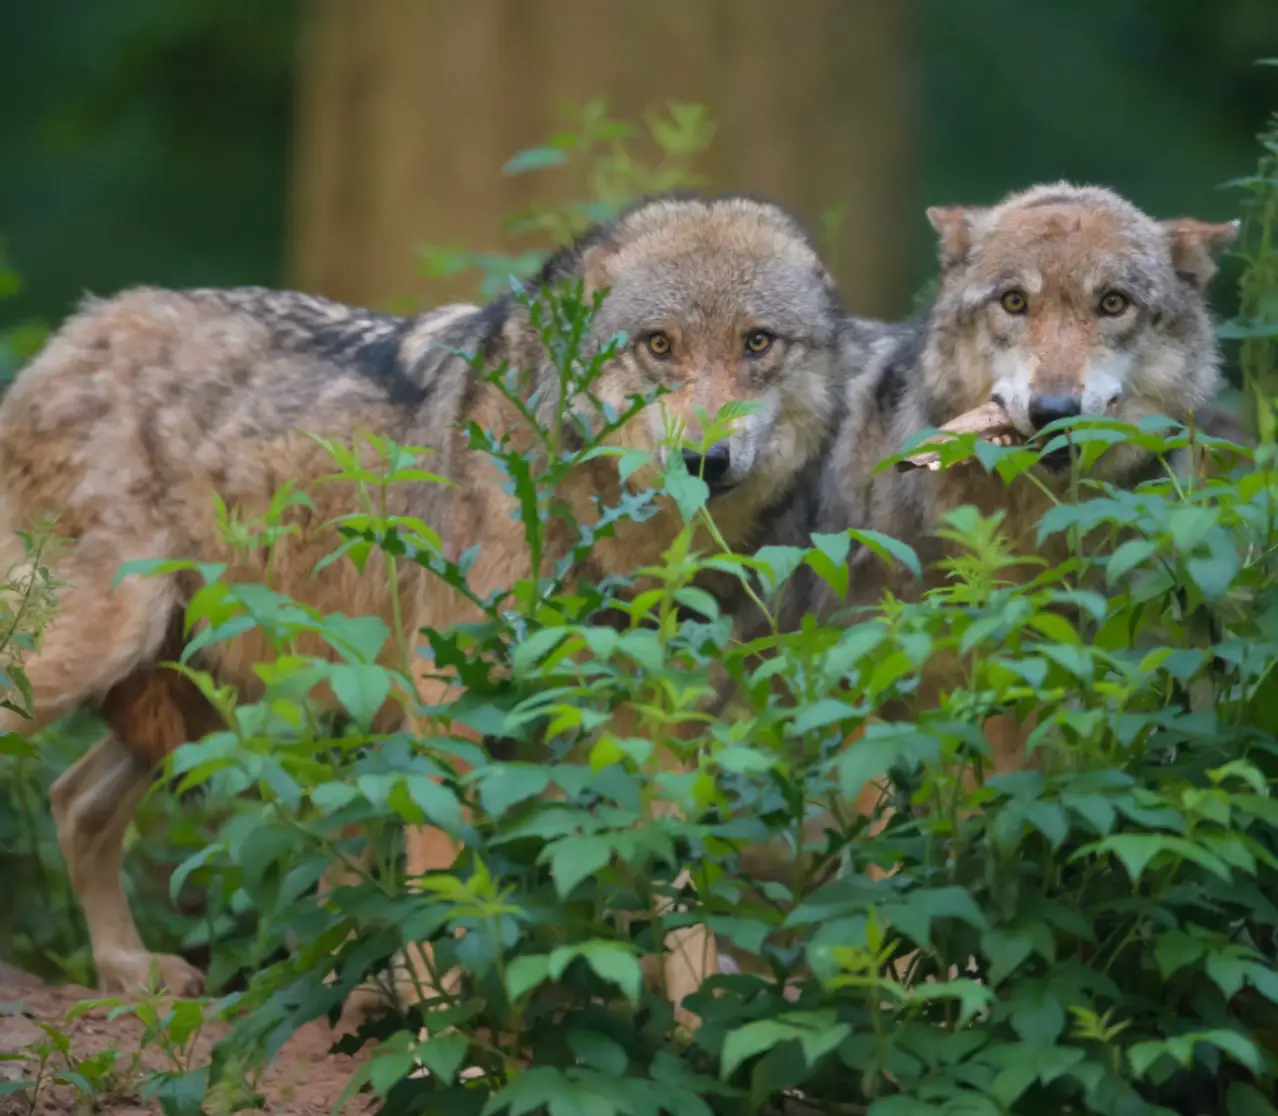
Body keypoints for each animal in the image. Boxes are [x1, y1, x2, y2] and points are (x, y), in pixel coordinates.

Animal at [0, 193, 847, 1018]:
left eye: (757, 343)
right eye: (660, 345)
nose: (705, 459)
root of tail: (73, 331)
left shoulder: (665, 730)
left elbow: (689, 928)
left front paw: (701, 1044)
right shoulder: (446, 705)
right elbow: (451, 913)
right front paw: (445, 1041)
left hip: (200, 701)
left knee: (74, 800)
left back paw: (127, 970)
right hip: (99, 653)